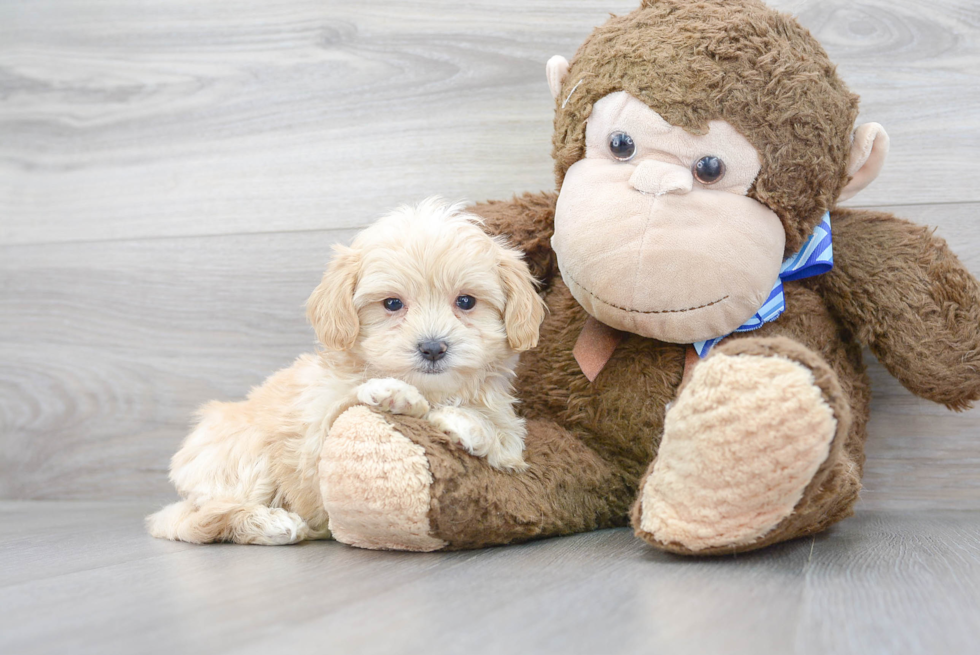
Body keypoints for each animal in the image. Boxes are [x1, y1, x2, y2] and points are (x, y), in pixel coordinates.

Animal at [146, 200, 548, 548]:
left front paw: (465, 423)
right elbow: (352, 401)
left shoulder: (511, 437)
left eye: (466, 301)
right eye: (392, 304)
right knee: (206, 517)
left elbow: (504, 442)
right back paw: (272, 523)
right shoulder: (316, 430)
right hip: (244, 454)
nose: (433, 347)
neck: (434, 389)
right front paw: (398, 395)